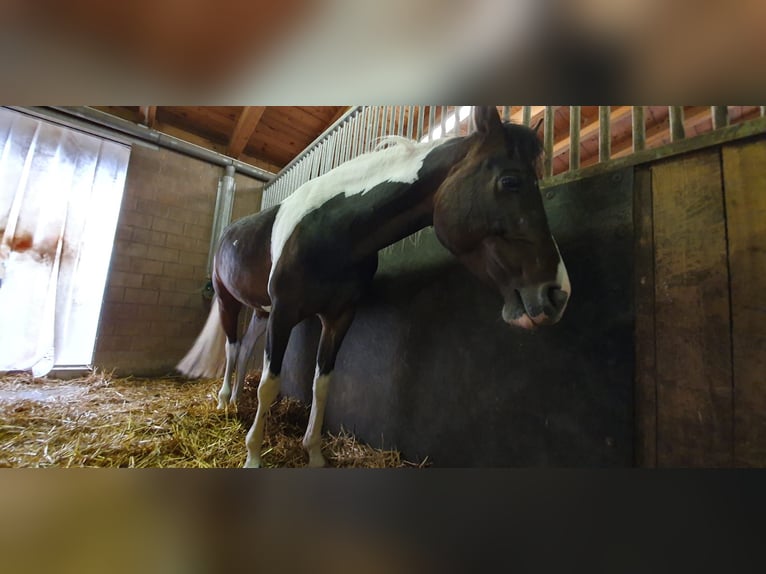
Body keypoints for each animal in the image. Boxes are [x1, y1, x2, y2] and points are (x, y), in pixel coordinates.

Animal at [176, 107, 568, 468]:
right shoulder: (284, 313)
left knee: (243, 349)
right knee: (231, 347)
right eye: (510, 181)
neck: (331, 231)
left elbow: (322, 384)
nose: (558, 293)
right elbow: (269, 384)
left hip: (261, 312)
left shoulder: (338, 317)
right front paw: (253, 457)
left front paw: (314, 455)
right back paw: (223, 401)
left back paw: (234, 402)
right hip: (231, 302)